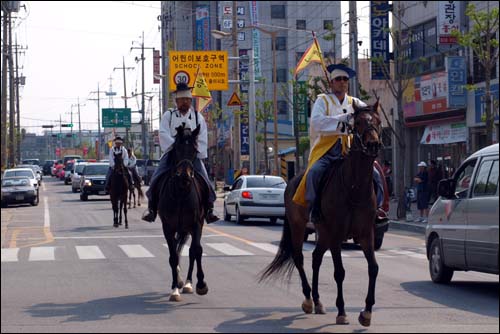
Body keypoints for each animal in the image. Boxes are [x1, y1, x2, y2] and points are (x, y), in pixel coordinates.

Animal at [262, 101, 382, 326]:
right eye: (358, 123)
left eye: (378, 121)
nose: (373, 144)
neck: (355, 187)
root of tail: (292, 181)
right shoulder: (336, 234)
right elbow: (339, 272)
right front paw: (342, 311)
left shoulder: (366, 234)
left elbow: (373, 268)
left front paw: (367, 312)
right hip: (299, 227)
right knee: (299, 258)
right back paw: (308, 299)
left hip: (323, 232)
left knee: (316, 257)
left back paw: (317, 301)